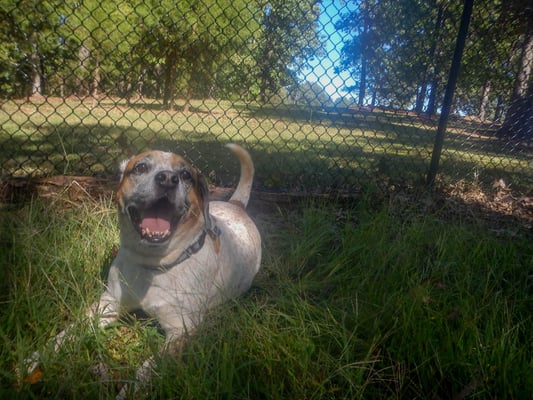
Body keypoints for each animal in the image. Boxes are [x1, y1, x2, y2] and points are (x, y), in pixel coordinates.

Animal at [25, 143, 262, 396]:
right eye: (141, 167)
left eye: (185, 174)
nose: (168, 179)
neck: (153, 265)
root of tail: (236, 206)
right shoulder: (107, 304)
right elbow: (66, 334)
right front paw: (31, 361)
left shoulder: (181, 330)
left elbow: (145, 371)